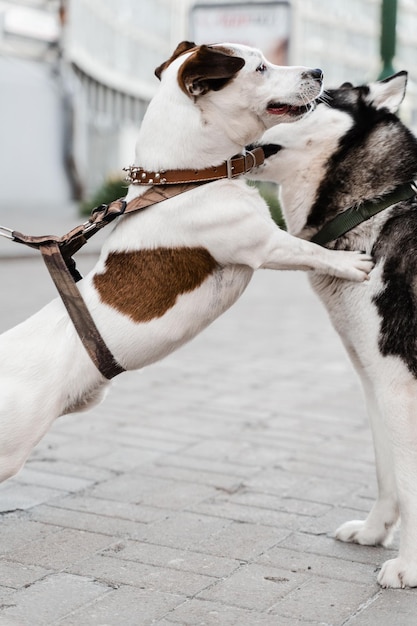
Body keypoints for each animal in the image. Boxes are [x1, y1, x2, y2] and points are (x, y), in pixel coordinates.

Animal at [0, 41, 370, 480]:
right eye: (260, 68)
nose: (318, 72)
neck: (186, 178)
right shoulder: (264, 244)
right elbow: (311, 251)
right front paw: (349, 264)